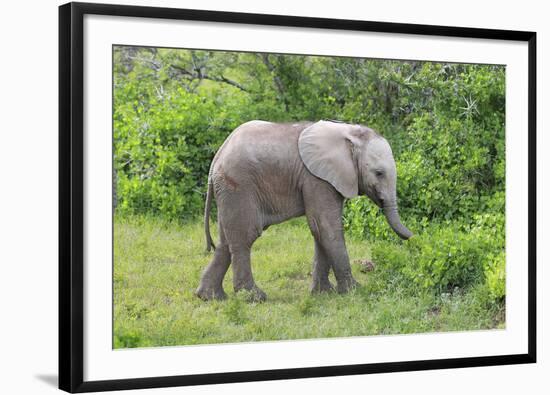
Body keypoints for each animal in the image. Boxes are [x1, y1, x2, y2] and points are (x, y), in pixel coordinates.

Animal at [196, 119, 412, 302]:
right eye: (379, 173)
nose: (412, 237)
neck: (347, 131)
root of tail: (218, 156)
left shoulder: (327, 179)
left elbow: (319, 229)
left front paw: (323, 294)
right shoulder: (316, 179)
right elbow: (326, 227)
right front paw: (354, 292)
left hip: (229, 190)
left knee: (226, 242)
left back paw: (209, 297)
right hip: (238, 185)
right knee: (245, 237)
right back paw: (254, 298)